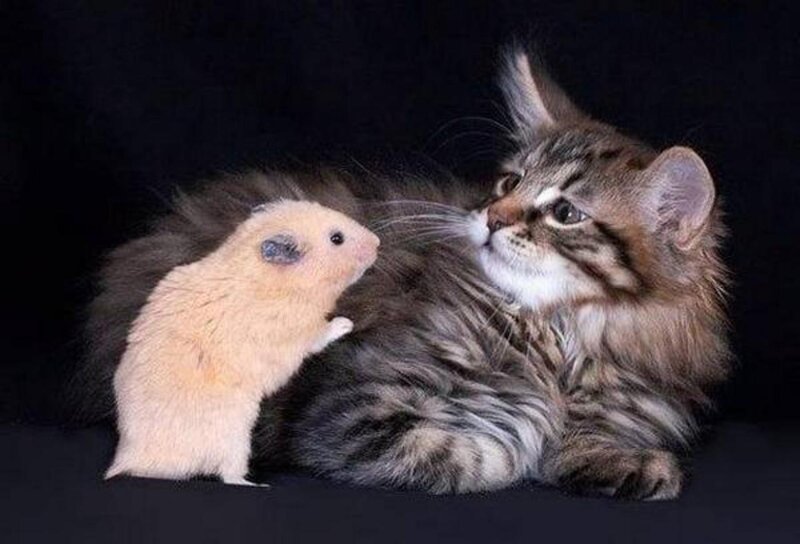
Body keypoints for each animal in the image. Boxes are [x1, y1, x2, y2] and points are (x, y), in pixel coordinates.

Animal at [105, 200, 380, 485]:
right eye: (337, 238)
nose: (378, 242)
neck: (274, 282)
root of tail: (128, 460)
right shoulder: (300, 333)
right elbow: (322, 334)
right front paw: (346, 323)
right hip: (234, 439)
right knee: (228, 475)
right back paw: (258, 484)